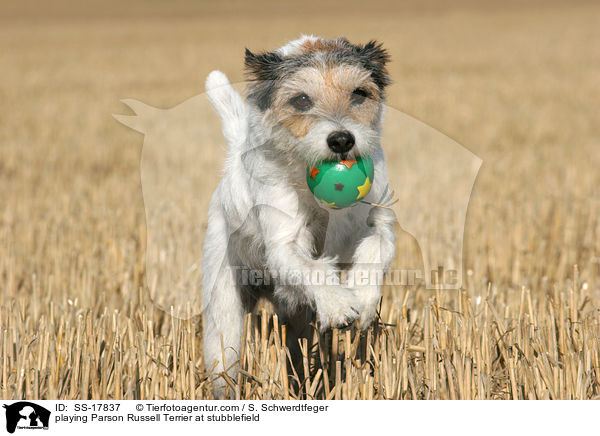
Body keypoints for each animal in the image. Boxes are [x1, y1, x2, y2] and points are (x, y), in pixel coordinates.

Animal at [204, 35, 396, 396]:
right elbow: (311, 267)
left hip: (296, 322)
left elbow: (376, 247)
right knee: (225, 359)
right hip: (224, 316)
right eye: (301, 100)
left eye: (359, 93)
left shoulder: (379, 220)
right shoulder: (284, 245)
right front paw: (339, 304)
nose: (341, 139)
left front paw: (363, 300)